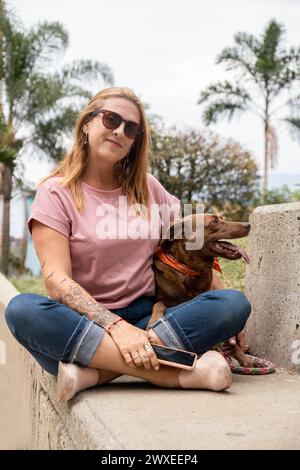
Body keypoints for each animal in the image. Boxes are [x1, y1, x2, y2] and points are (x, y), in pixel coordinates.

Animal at [148, 213, 253, 368]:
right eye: (214, 221)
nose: (248, 225)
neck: (191, 271)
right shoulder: (163, 300)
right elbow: (159, 304)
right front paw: (154, 319)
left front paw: (242, 357)